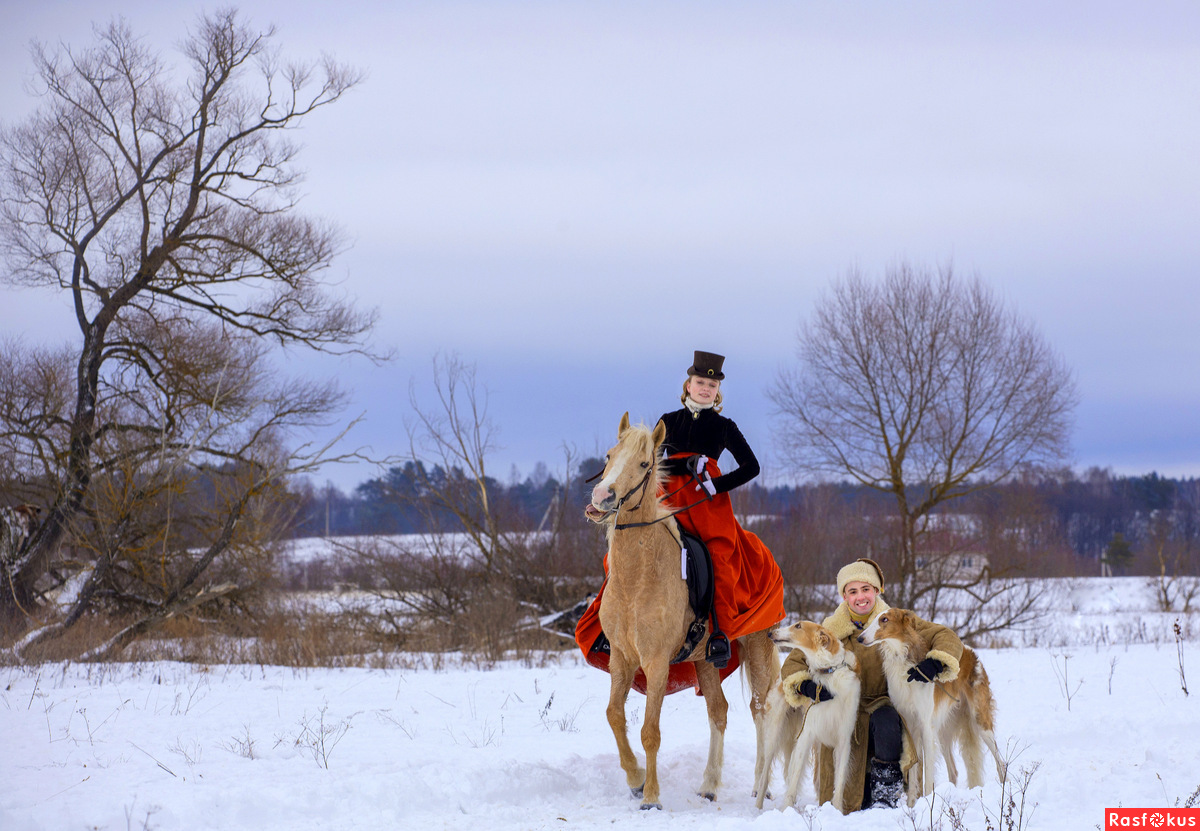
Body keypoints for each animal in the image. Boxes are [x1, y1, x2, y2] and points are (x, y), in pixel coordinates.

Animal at [588, 413, 777, 806]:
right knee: (719, 711)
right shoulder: (621, 658)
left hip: (757, 645)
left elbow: (650, 731)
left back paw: (760, 785)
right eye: (609, 455)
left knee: (761, 710)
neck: (637, 579)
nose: (601, 497)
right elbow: (614, 716)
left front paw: (651, 797)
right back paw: (708, 785)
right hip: (705, 658)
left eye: (644, 464)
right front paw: (635, 778)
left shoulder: (657, 662)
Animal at [753, 624, 859, 811]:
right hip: (775, 734)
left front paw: (837, 811)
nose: (770, 633)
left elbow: (839, 783)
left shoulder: (843, 740)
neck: (830, 673)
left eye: (798, 625)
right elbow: (794, 779)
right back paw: (758, 808)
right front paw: (786, 810)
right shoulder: (807, 734)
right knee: (766, 775)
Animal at [859, 607, 1008, 802]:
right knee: (954, 770)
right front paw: (912, 804)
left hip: (980, 721)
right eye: (872, 618)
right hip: (944, 730)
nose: (860, 638)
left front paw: (927, 802)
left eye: (884, 619)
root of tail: (970, 651)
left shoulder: (925, 725)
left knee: (1001, 763)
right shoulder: (910, 725)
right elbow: (914, 772)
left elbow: (927, 775)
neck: (904, 660)